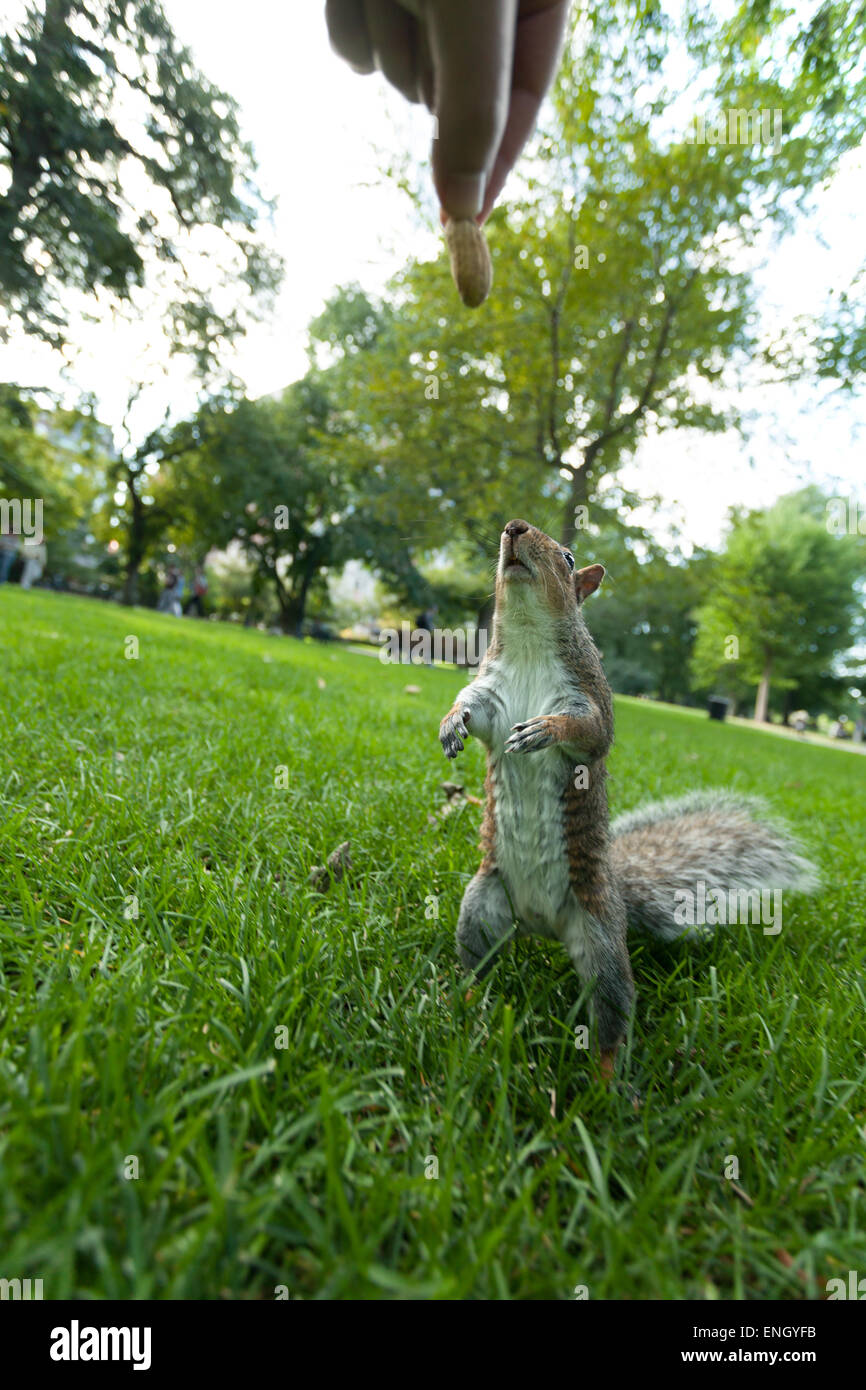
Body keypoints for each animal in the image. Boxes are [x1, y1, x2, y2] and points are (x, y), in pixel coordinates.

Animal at [439, 517, 817, 1078]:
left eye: (569, 557)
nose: (514, 527)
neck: (528, 639)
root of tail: (539, 924)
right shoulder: (489, 696)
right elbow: (471, 709)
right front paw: (449, 725)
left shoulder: (591, 697)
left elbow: (590, 733)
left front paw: (546, 730)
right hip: (481, 909)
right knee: (476, 965)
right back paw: (464, 1006)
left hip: (601, 945)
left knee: (612, 1013)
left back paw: (609, 1078)